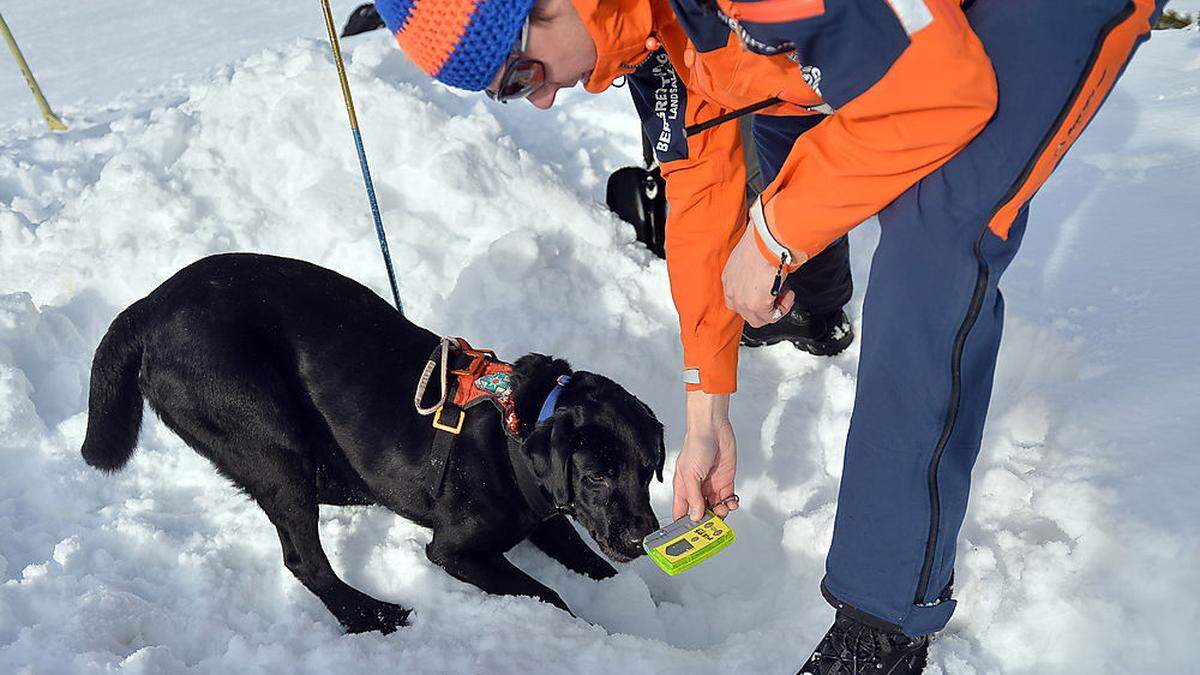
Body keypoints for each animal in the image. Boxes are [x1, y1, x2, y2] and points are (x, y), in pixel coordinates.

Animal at [82, 251, 667, 629]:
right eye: (597, 475)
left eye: (648, 470)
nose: (642, 538)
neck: (517, 428)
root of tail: (149, 304)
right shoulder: (455, 551)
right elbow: (550, 595)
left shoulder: (545, 517)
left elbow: (592, 563)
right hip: (267, 433)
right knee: (305, 560)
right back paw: (372, 614)